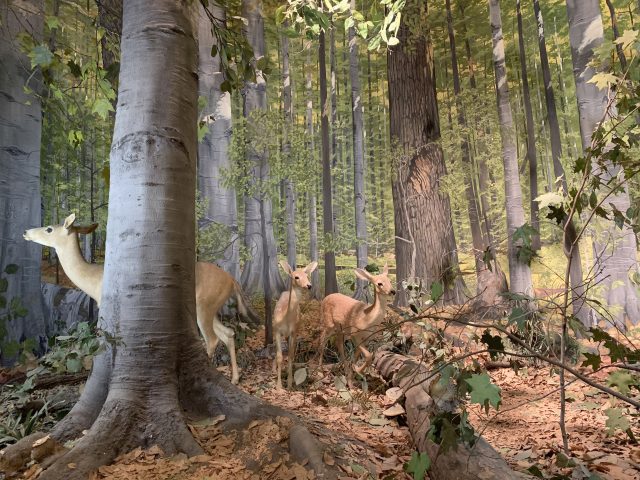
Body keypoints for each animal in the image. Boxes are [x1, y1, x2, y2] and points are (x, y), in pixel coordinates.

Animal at [23, 213, 260, 385]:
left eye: (49, 228)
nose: (26, 231)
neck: (95, 280)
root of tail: (232, 280)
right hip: (212, 307)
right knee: (228, 333)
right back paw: (235, 379)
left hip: (205, 305)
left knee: (212, 339)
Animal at [272, 260, 318, 390]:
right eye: (296, 277)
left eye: (307, 275)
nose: (309, 285)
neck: (286, 318)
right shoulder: (276, 330)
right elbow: (279, 357)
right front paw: (279, 386)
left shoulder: (293, 331)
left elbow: (291, 356)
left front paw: (289, 383)